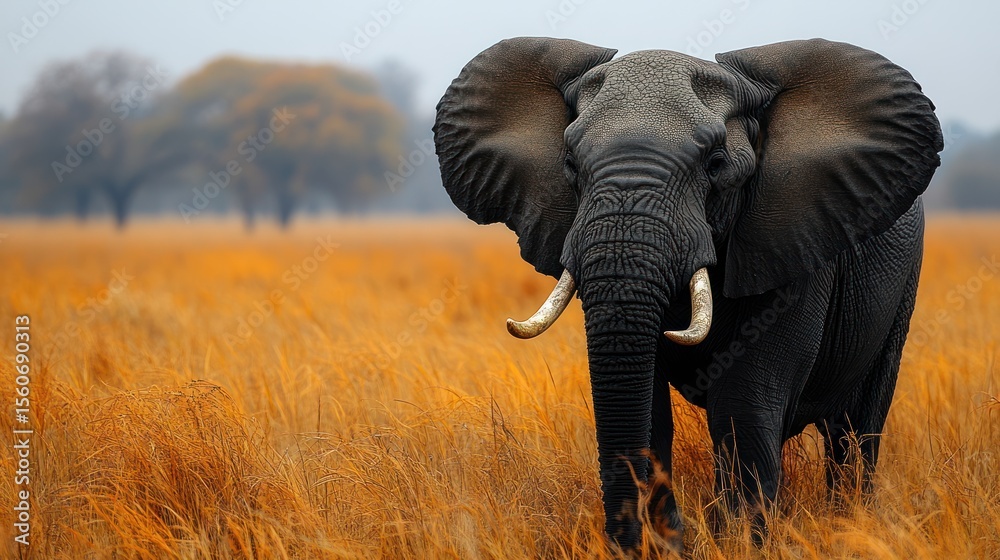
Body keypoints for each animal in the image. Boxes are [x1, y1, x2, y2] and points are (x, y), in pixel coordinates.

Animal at [432, 37, 942, 550]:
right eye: (570, 164)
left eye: (716, 165)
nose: (628, 544)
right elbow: (651, 409)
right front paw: (670, 544)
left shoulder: (795, 242)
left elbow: (742, 405)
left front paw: (737, 545)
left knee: (857, 428)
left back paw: (851, 524)